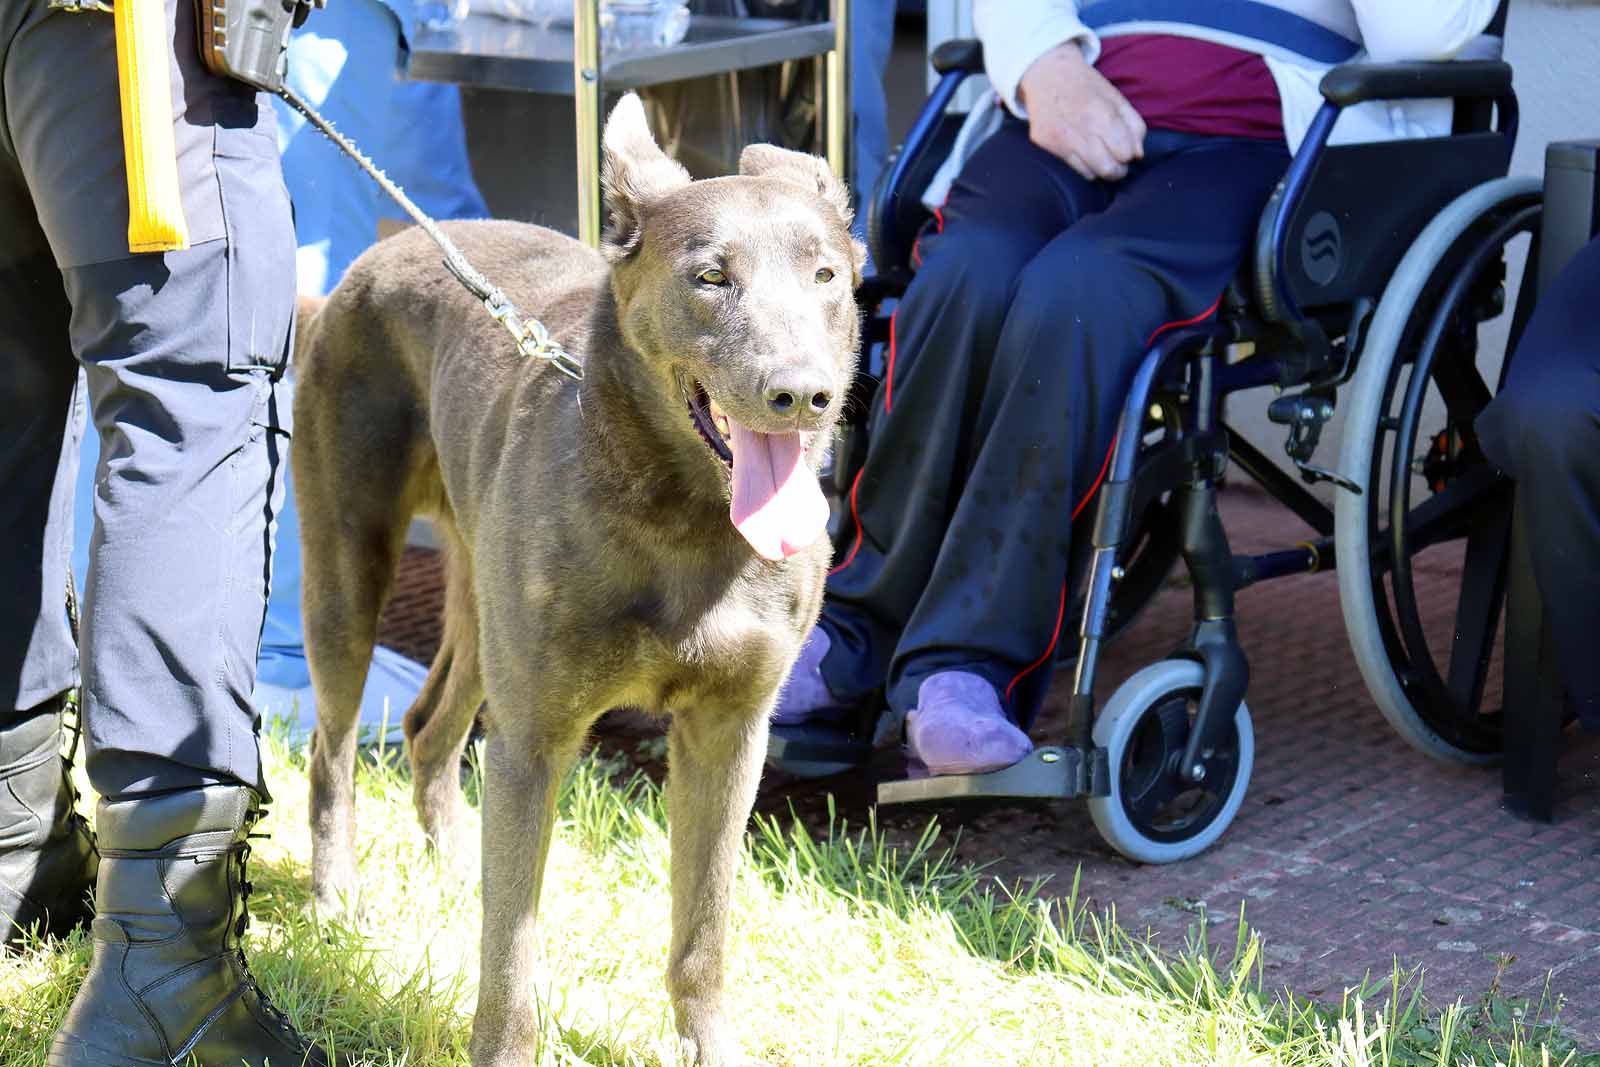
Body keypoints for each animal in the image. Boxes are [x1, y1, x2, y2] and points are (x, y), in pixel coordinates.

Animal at [288, 93, 864, 1067]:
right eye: (711, 277)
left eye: (826, 274)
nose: (801, 394)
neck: (688, 519)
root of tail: (374, 256)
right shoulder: (536, 740)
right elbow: (511, 955)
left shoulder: (729, 731)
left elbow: (702, 931)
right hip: (348, 567)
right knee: (333, 749)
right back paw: (337, 897)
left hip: (482, 603)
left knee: (428, 725)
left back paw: (451, 866)